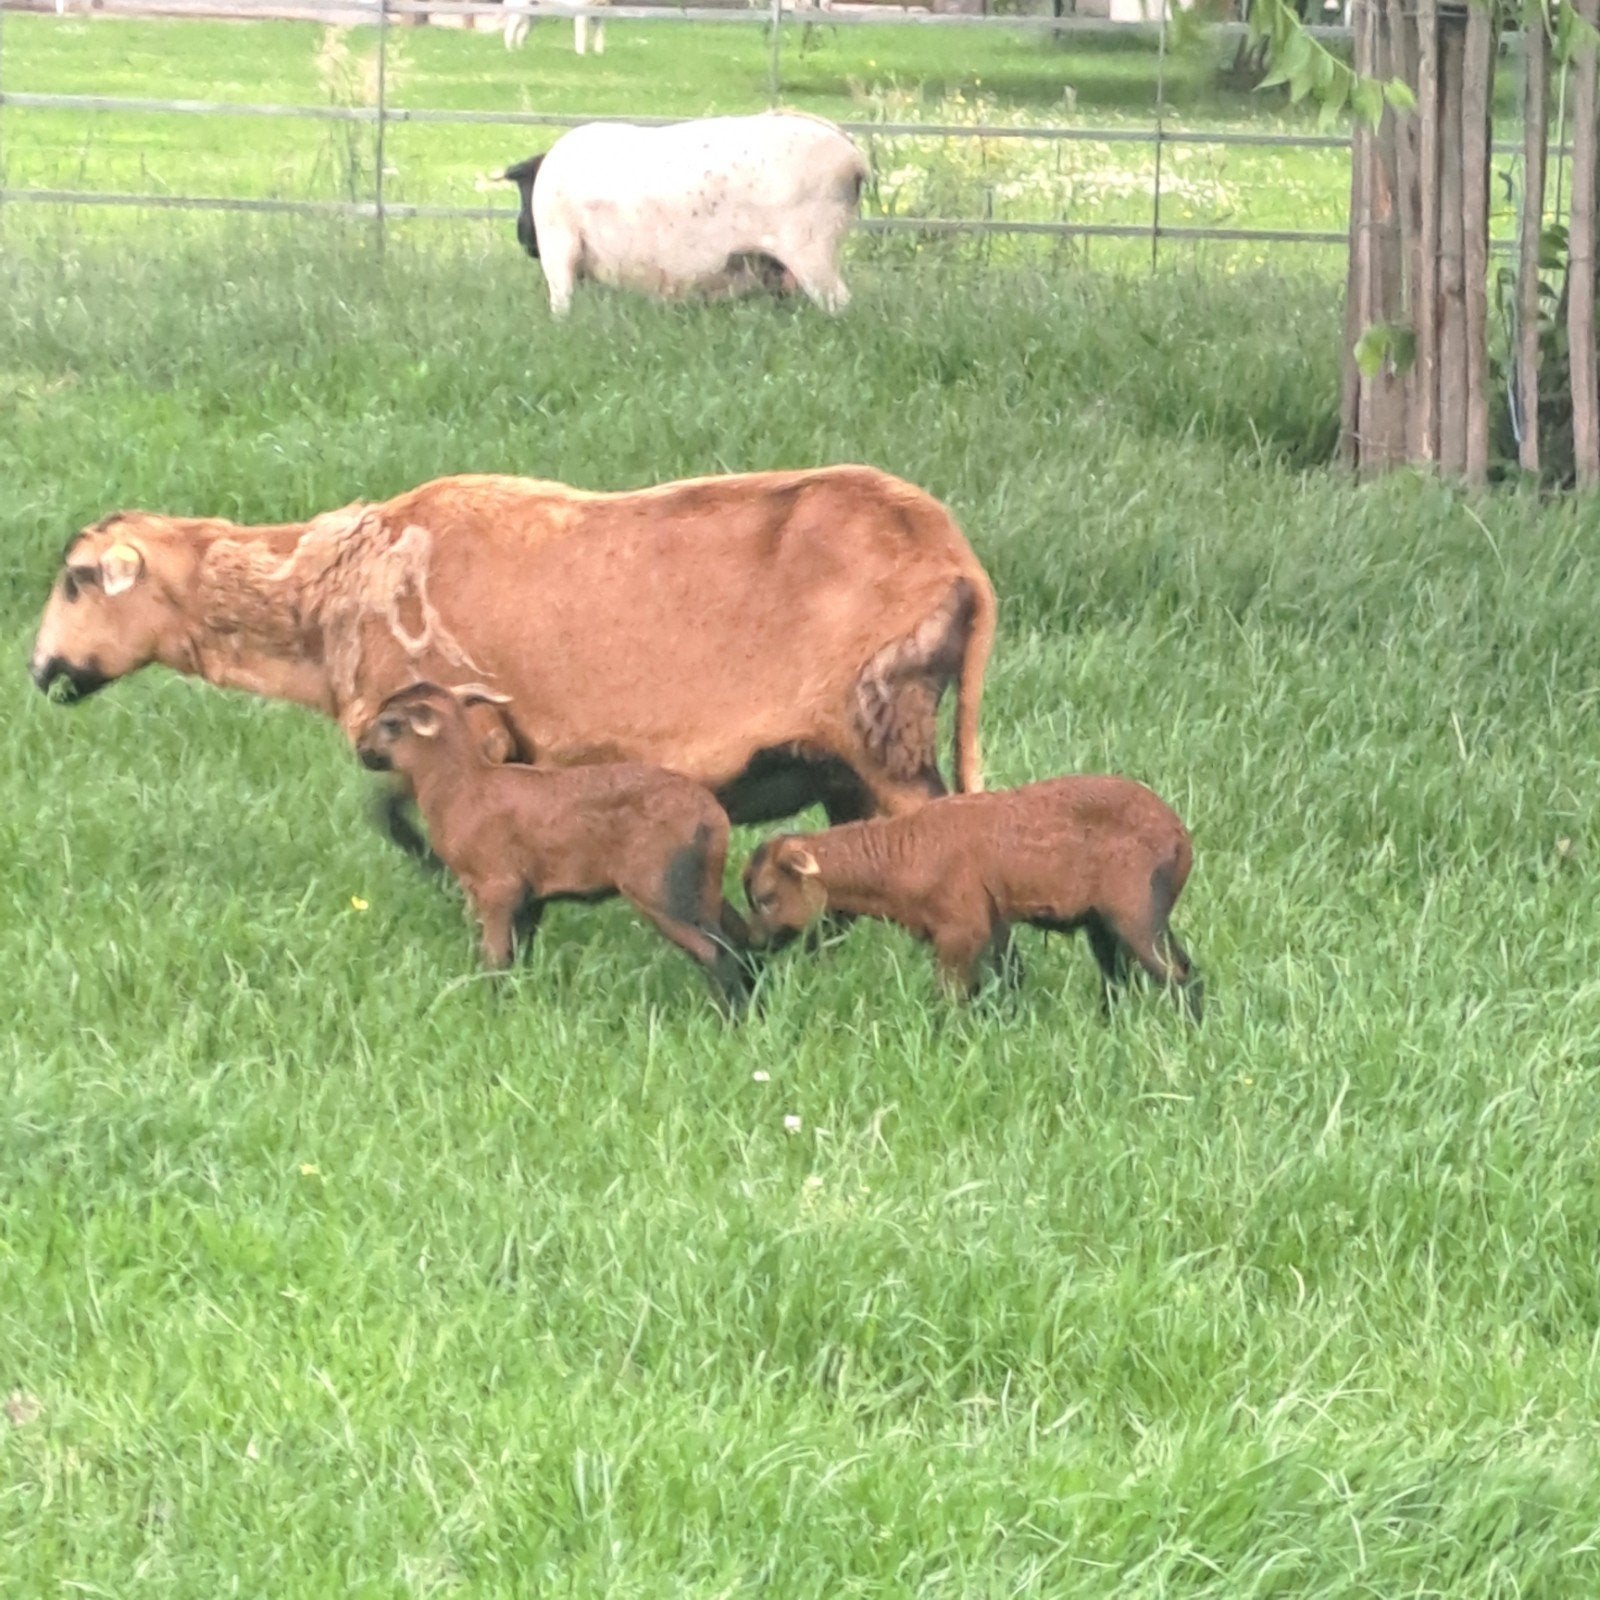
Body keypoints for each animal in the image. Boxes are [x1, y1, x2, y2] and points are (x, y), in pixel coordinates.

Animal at [356, 682, 753, 1011]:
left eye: (391, 723)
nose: (362, 751)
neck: (463, 788)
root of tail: (712, 818)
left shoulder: (496, 887)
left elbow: (494, 957)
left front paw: (490, 1008)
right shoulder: (529, 898)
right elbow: (517, 954)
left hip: (662, 889)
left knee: (715, 953)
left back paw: (729, 1018)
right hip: (703, 888)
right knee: (739, 943)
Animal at [742, 777, 1203, 1018]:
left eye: (766, 897)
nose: (754, 945)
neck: (896, 861)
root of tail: (1181, 838)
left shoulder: (960, 928)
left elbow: (951, 996)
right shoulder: (990, 919)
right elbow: (1009, 979)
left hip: (1136, 906)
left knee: (1178, 974)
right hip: (1111, 919)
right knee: (1126, 977)